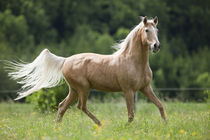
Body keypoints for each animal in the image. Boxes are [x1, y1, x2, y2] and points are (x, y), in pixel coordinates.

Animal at [7, 16, 167, 124]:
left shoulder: (145, 88)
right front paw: (126, 127)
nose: (156, 46)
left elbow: (160, 105)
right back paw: (99, 124)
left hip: (74, 90)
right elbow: (131, 114)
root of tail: (65, 60)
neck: (134, 62)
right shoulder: (128, 90)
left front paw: (166, 125)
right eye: (146, 30)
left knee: (62, 106)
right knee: (81, 106)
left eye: (157, 30)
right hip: (83, 88)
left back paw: (57, 127)